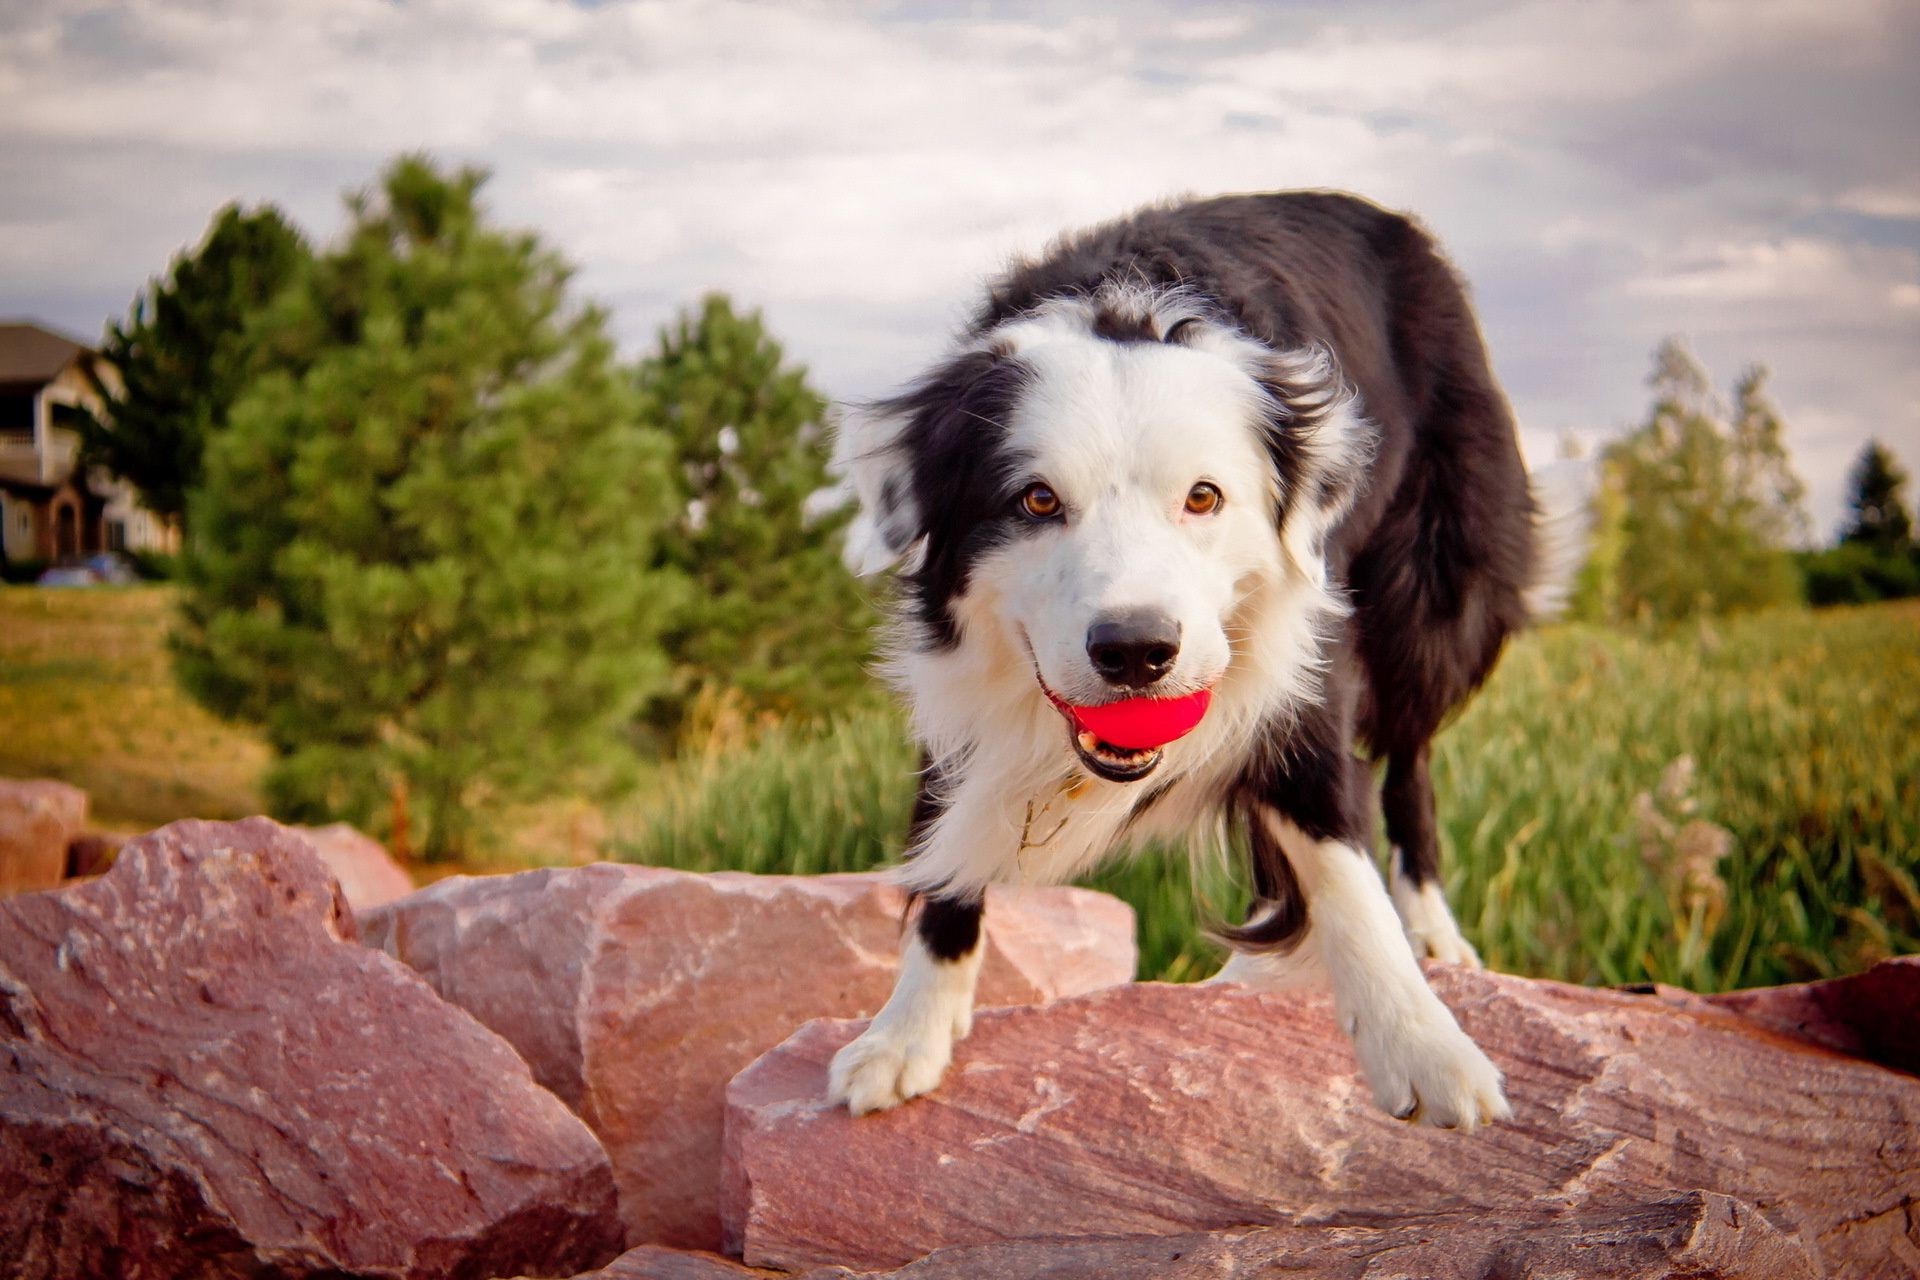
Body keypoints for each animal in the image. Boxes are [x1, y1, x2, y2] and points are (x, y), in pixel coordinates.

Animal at [829, 189, 1559, 1128]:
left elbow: (1339, 845)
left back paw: (1429, 924)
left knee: (1408, 757)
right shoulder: (964, 684)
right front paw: (907, 1029)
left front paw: (1424, 1046)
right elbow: (943, 838)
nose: (1136, 652)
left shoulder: (1307, 661)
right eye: (1037, 500)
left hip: (1435, 597)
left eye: (1203, 498)